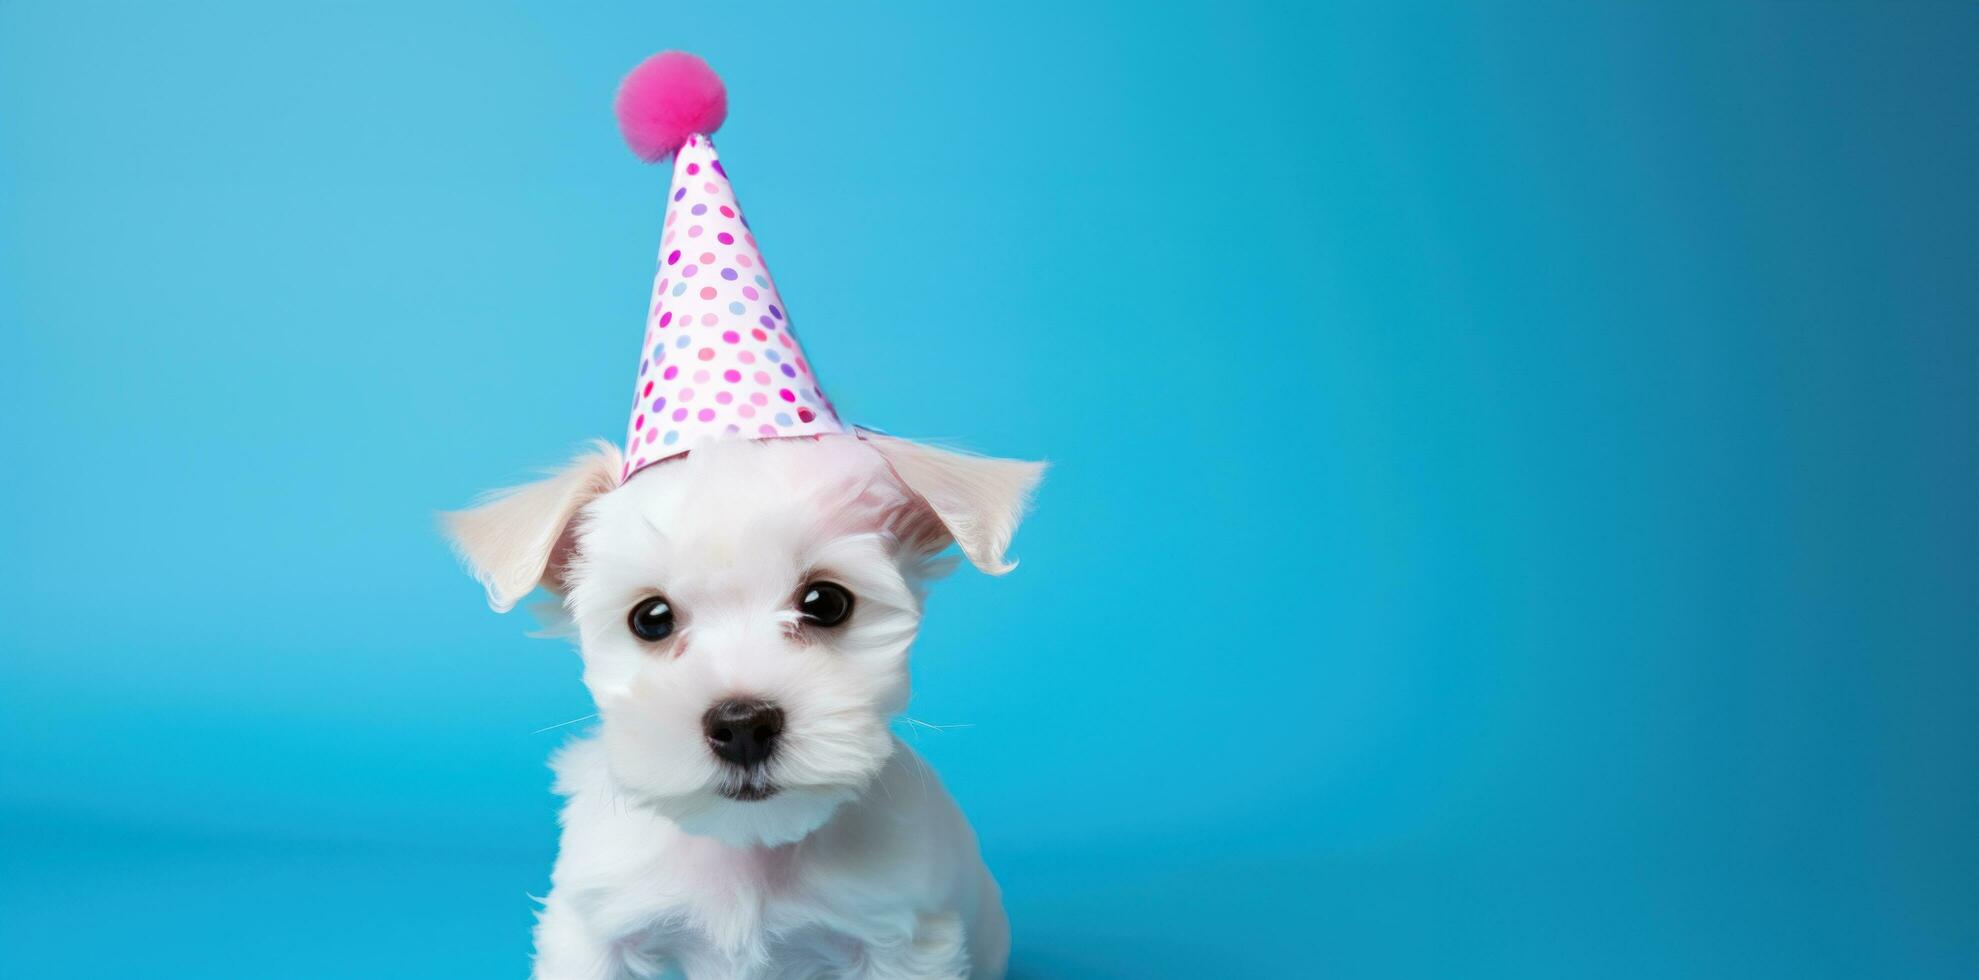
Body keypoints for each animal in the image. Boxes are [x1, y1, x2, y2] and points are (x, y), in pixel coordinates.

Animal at [443, 433, 1044, 978]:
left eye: (826, 602)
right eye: (650, 618)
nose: (743, 726)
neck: (748, 846)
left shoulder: (898, 944)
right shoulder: (594, 930)